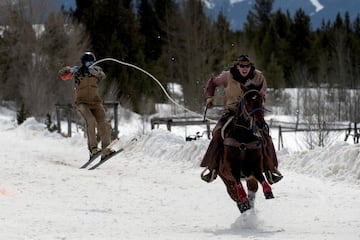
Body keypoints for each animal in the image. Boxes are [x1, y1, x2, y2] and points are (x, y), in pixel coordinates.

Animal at [218, 83, 274, 214]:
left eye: (261, 100)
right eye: (247, 101)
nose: (260, 123)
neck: (243, 138)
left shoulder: (254, 166)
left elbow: (261, 177)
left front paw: (268, 191)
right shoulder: (231, 168)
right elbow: (237, 181)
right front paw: (243, 201)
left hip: (249, 179)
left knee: (252, 190)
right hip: (225, 178)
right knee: (233, 192)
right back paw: (242, 204)